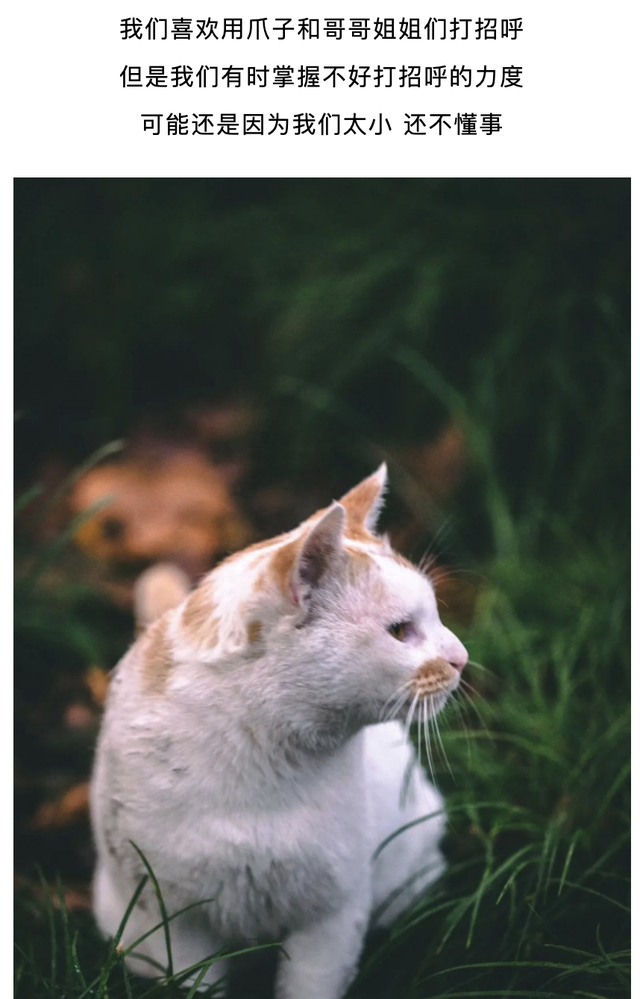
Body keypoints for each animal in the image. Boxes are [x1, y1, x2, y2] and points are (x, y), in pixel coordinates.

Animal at [90, 468, 468, 999]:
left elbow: (311, 984)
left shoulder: (334, 914)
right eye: (399, 631)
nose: (461, 658)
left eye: (435, 616)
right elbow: (196, 983)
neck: (266, 760)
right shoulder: (174, 923)